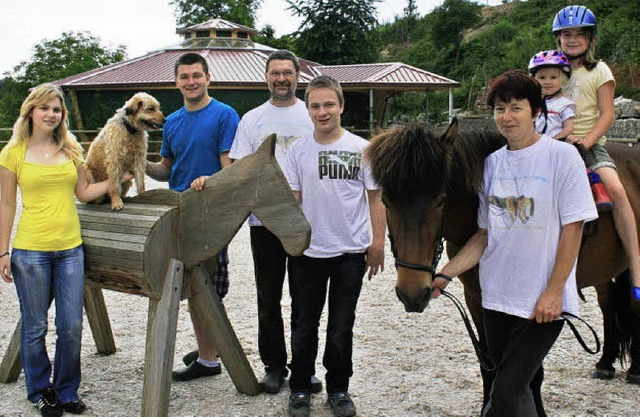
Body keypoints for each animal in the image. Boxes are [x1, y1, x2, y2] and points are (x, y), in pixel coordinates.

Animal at [364, 118, 640, 414]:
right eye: (386, 201)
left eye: (441, 200)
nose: (412, 293)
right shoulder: (477, 296)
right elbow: (489, 366)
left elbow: (528, 373)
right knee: (609, 304)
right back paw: (605, 363)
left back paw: (634, 371)